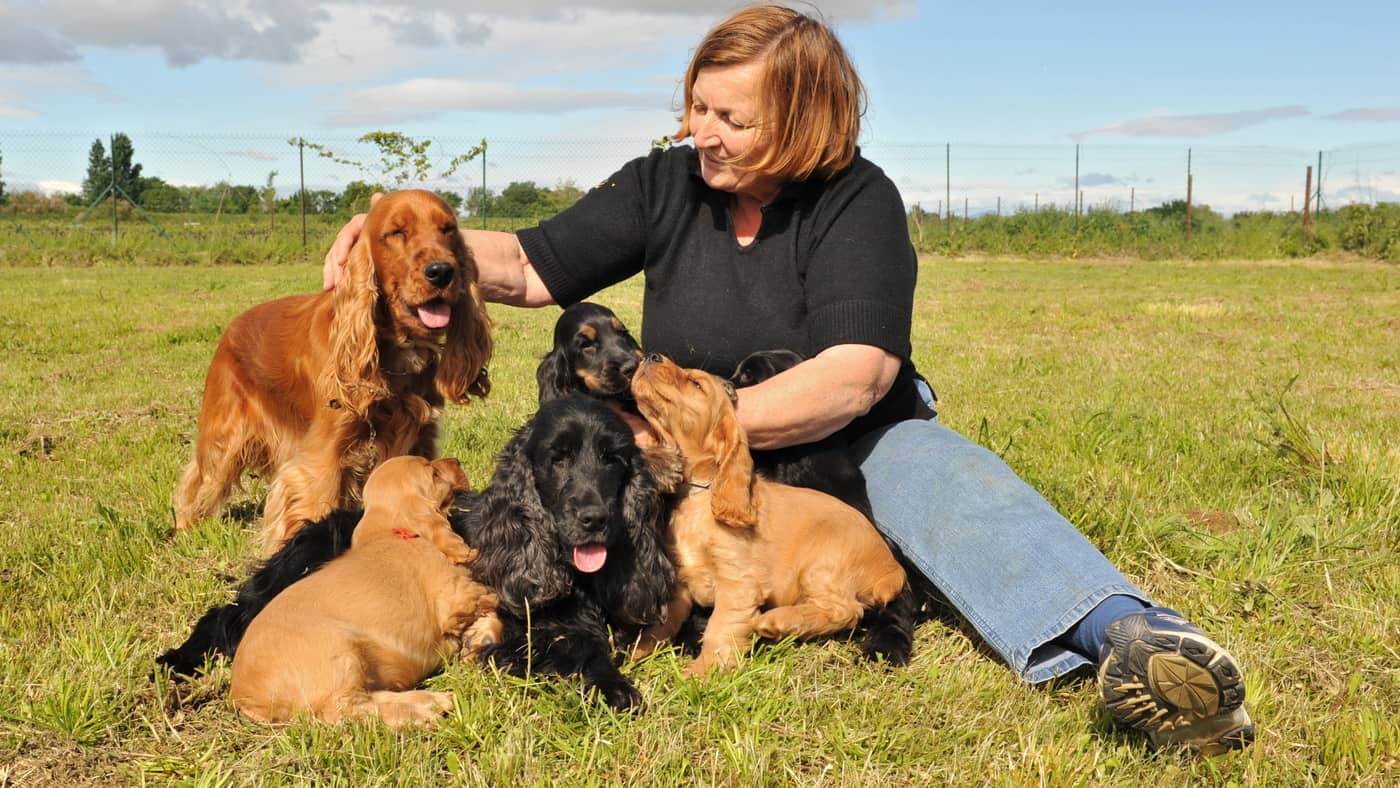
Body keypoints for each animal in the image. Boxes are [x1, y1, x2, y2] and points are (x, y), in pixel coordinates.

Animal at [235, 456, 504, 727]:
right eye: (433, 473)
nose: (456, 460)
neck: (393, 530)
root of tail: (242, 695)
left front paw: (478, 639)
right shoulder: (456, 595)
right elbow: (492, 596)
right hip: (340, 656)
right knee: (349, 709)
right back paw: (426, 707)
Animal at [627, 354, 907, 674]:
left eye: (696, 383)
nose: (651, 356)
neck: (698, 495)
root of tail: (891, 566)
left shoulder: (739, 582)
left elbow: (719, 627)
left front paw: (702, 672)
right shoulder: (681, 578)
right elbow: (665, 619)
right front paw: (640, 647)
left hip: (824, 562)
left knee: (846, 610)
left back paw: (778, 621)